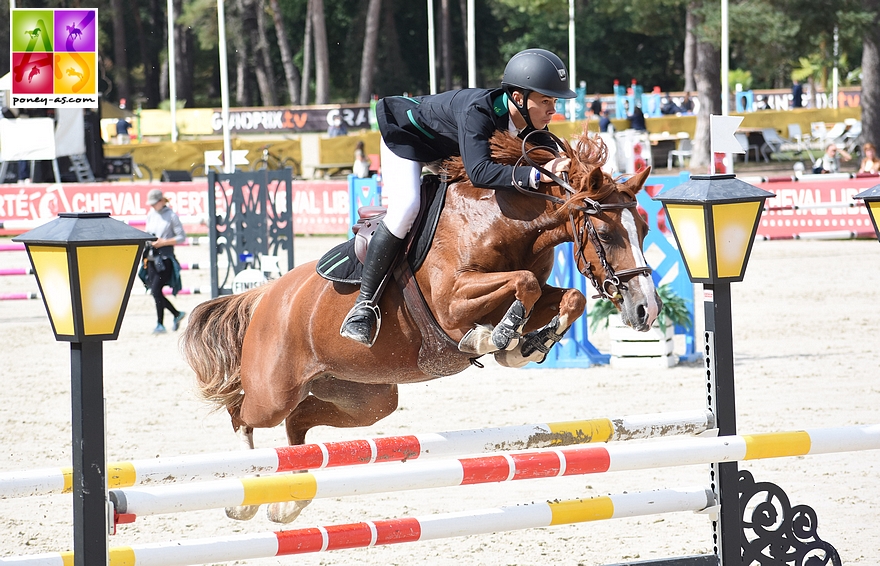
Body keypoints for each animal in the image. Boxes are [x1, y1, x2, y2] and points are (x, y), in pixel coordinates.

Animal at [180, 126, 660, 524]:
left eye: (643, 228)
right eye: (607, 233)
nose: (646, 310)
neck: (503, 220)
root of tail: (264, 295)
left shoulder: (535, 291)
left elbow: (567, 297)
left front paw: (526, 345)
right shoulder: (451, 303)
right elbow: (520, 284)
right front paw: (496, 338)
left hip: (366, 399)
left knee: (298, 422)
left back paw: (287, 502)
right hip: (273, 390)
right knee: (242, 414)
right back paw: (245, 498)